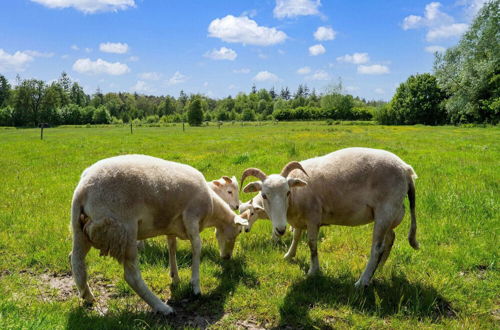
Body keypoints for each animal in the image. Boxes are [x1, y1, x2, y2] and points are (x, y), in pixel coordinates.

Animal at [69, 155, 249, 314]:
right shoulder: (191, 216)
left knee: (76, 260)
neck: (212, 208)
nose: (227, 257)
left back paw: (87, 296)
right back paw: (162, 307)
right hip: (123, 229)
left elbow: (172, 247)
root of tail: (82, 189)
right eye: (238, 232)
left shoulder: (171, 225)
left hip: (83, 229)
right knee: (131, 276)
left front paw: (175, 277)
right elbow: (197, 247)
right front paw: (195, 287)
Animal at [240, 148, 420, 288]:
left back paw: (362, 281)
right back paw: (379, 269)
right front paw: (289, 255)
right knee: (390, 239)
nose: (280, 229)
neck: (296, 197)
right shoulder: (299, 218)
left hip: (385, 210)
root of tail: (406, 169)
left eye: (288, 192)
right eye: (264, 195)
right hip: (390, 213)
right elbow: (296, 236)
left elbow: (312, 244)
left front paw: (313, 271)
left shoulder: (313, 216)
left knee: (377, 248)